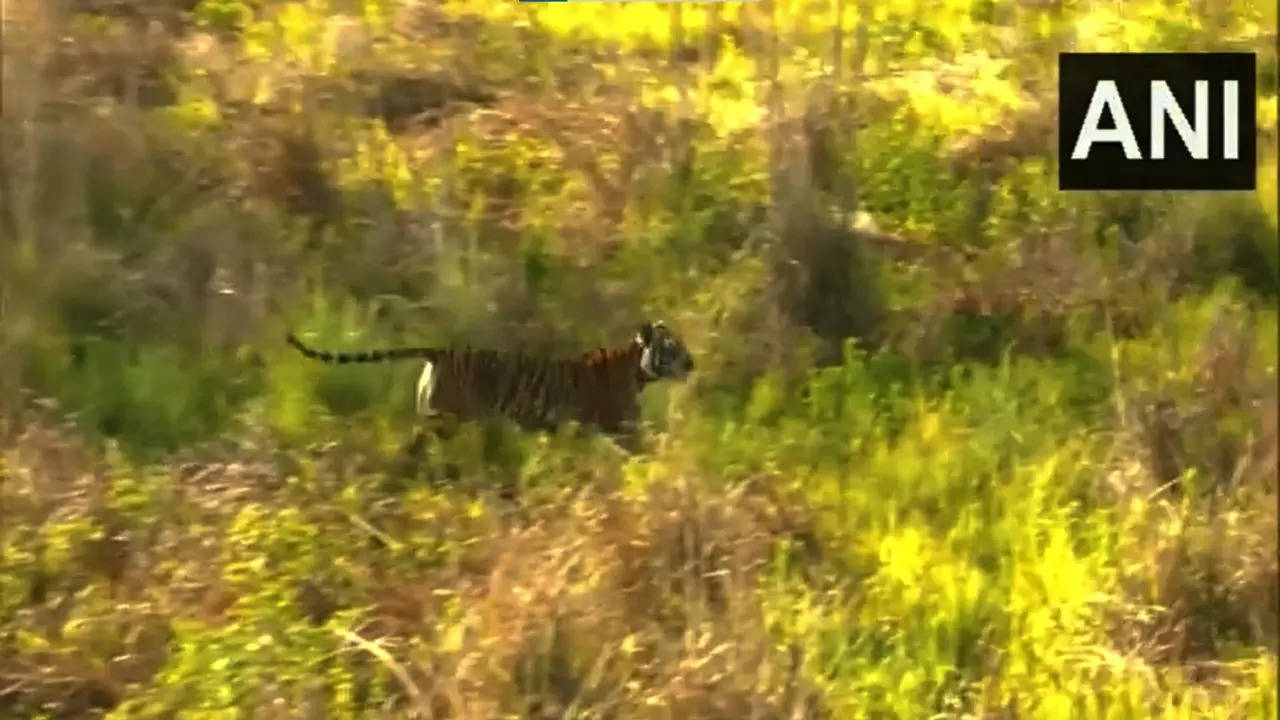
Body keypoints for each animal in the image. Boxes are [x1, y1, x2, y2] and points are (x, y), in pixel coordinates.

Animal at [285, 320, 696, 438]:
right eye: (672, 347)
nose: (691, 363)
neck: (637, 368)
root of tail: (441, 352)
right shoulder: (620, 425)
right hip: (447, 419)